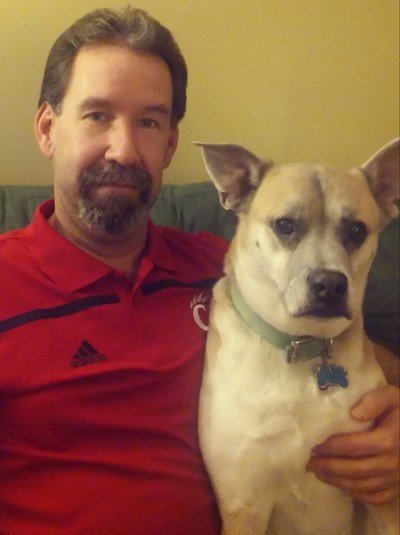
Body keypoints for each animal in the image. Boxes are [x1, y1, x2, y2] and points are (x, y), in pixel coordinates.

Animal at [197, 138, 399, 535]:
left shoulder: (380, 494)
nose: (330, 285)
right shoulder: (243, 504)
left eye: (356, 230)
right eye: (285, 225)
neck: (299, 345)